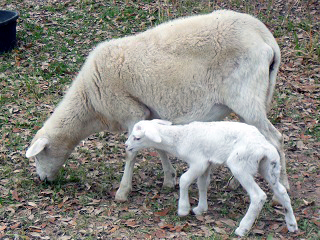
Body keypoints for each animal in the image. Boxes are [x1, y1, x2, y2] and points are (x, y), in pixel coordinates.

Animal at [26, 9, 288, 202]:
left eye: (39, 156)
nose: (42, 180)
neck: (90, 103)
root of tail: (266, 38)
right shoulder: (149, 114)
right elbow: (158, 144)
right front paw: (169, 179)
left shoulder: (132, 111)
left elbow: (130, 152)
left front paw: (122, 192)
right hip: (250, 99)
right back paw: (236, 182)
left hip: (247, 97)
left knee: (276, 139)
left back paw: (280, 190)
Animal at [124, 119, 298, 235]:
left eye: (137, 137)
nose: (126, 145)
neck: (178, 139)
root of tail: (266, 148)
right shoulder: (206, 163)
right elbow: (202, 184)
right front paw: (201, 208)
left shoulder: (198, 162)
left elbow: (184, 180)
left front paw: (183, 209)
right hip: (266, 166)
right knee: (282, 192)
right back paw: (292, 225)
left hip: (240, 164)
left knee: (258, 195)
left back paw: (242, 228)